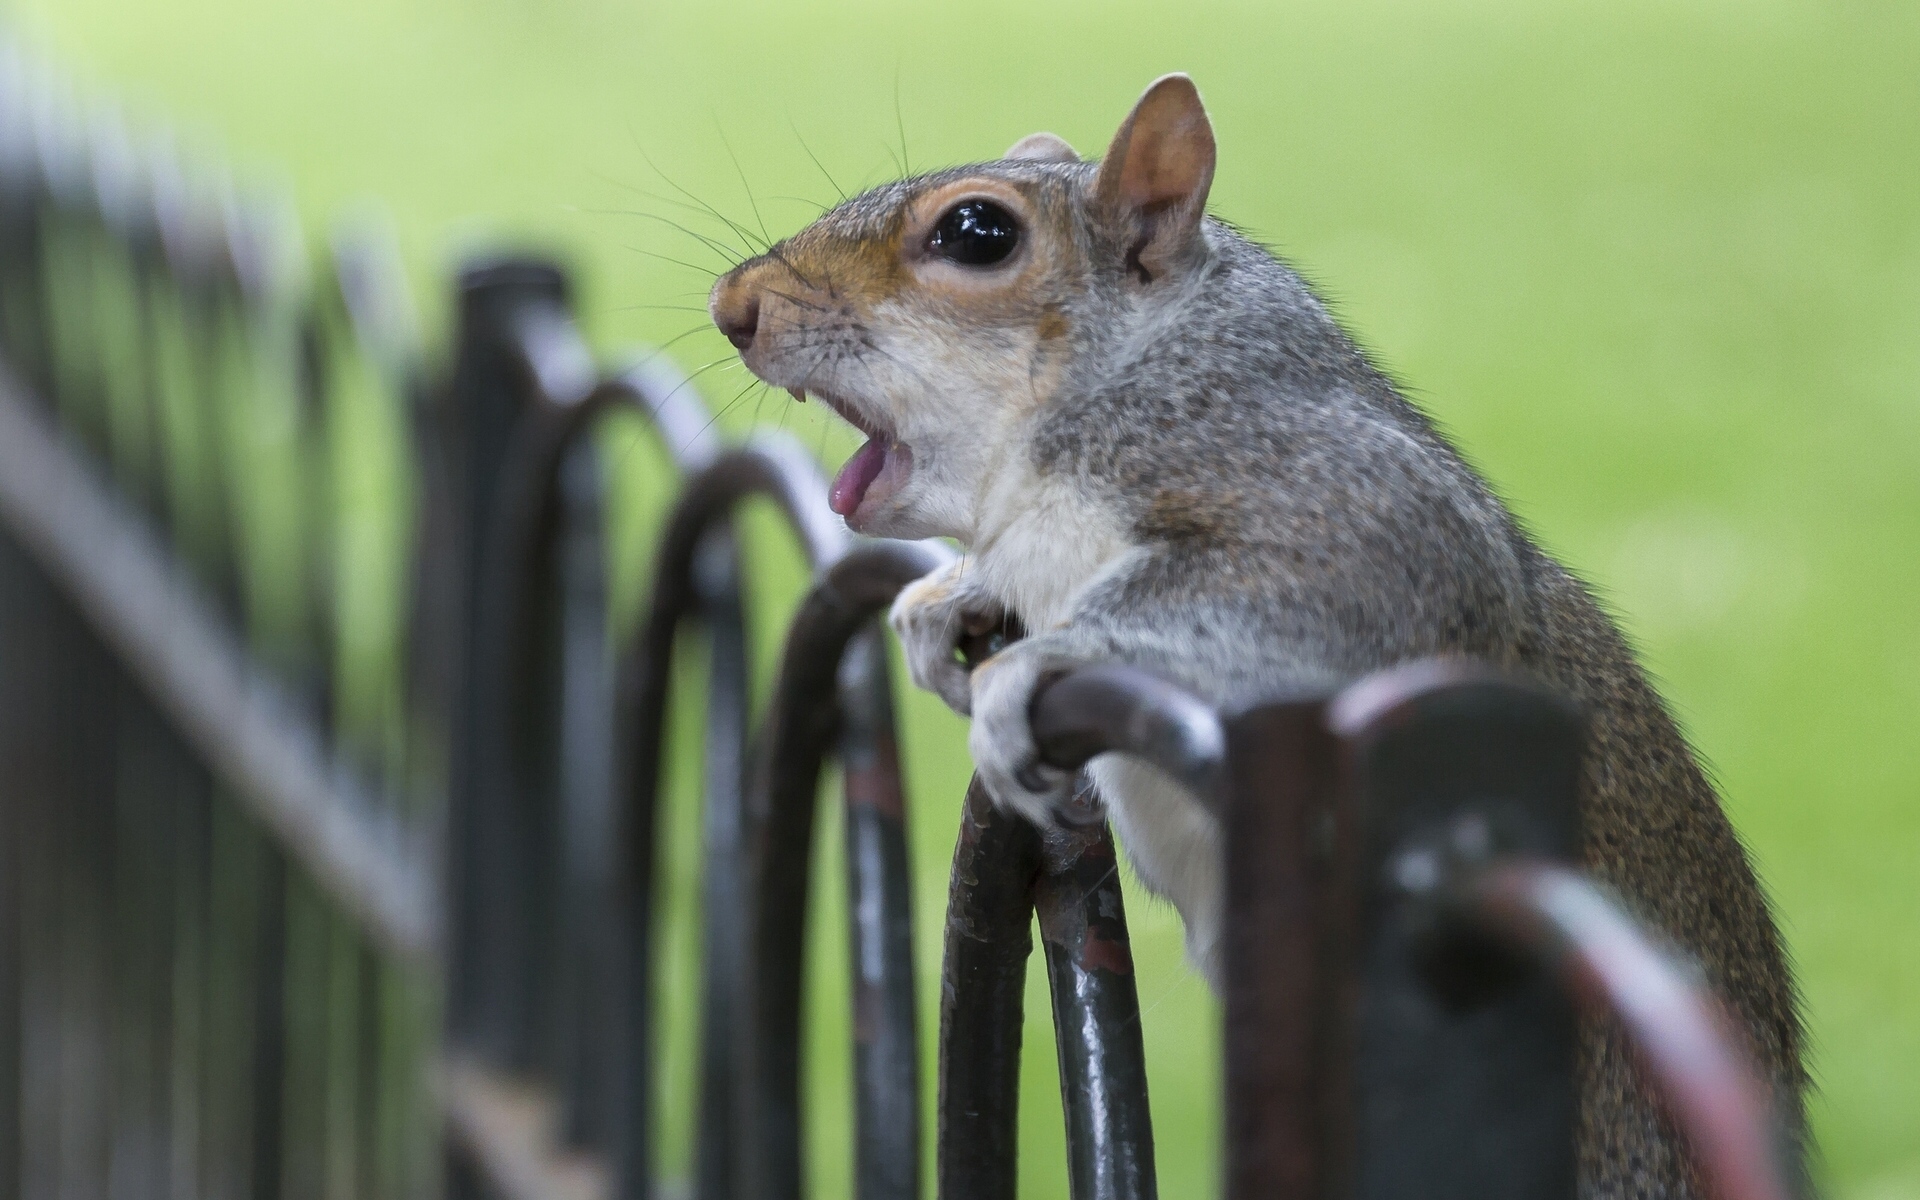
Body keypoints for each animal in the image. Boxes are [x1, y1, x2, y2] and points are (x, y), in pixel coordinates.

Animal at [708, 74, 1803, 1197]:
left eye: (978, 233)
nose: (733, 307)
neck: (1126, 368)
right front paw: (948, 599)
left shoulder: (1331, 498)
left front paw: (1031, 664)